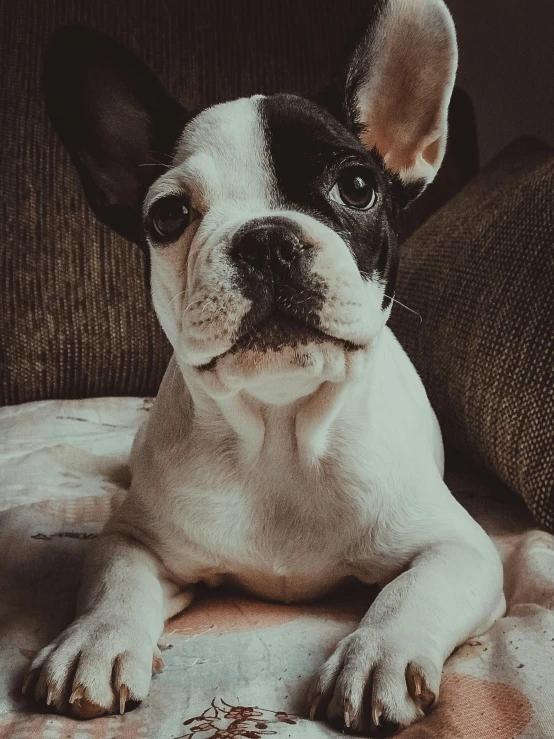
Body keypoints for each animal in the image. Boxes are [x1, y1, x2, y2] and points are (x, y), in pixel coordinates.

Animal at [27, 2, 504, 736]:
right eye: (167, 215)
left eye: (358, 187)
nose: (268, 237)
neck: (281, 429)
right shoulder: (136, 538)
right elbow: (115, 579)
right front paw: (95, 642)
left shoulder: (459, 547)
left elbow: (412, 589)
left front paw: (378, 654)